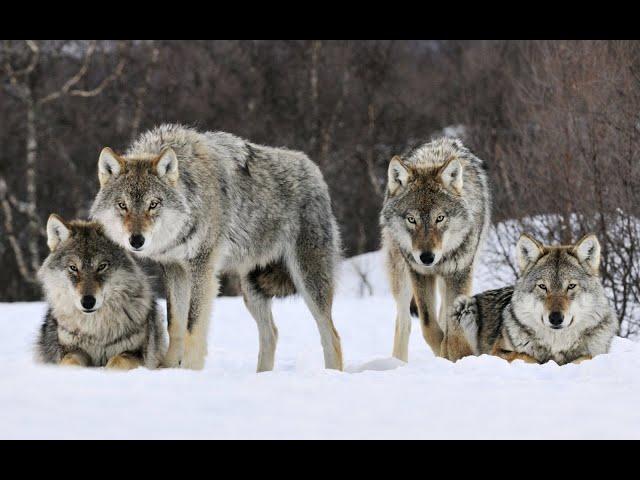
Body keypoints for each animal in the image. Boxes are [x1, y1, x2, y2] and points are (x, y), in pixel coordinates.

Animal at [35, 216, 166, 370]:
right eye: (73, 268)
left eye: (102, 266)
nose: (88, 302)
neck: (95, 330)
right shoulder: (71, 350)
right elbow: (70, 362)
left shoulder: (135, 353)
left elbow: (117, 362)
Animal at [89, 124, 344, 372]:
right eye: (122, 205)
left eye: (153, 204)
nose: (136, 240)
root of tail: (314, 170)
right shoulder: (174, 269)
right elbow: (175, 324)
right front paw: (169, 368)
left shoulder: (202, 268)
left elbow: (193, 326)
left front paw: (190, 371)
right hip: (251, 290)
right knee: (271, 333)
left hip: (308, 281)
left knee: (332, 335)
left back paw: (332, 374)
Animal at [380, 137, 490, 362]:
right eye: (411, 219)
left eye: (440, 218)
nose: (427, 257)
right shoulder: (419, 273)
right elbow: (429, 325)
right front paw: (442, 352)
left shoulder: (460, 273)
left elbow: (451, 326)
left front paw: (453, 354)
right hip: (401, 276)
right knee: (404, 322)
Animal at [450, 232, 620, 364]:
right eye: (543, 286)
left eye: (571, 286)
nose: (556, 318)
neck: (556, 344)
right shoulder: (497, 352)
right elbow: (526, 356)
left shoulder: (597, 353)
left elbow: (586, 357)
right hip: (462, 306)